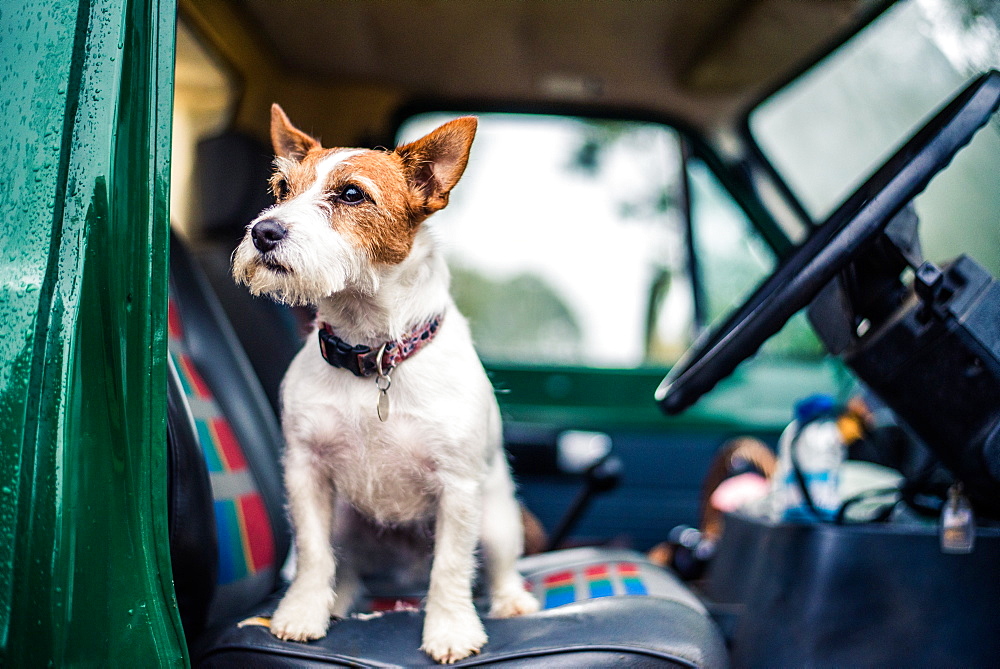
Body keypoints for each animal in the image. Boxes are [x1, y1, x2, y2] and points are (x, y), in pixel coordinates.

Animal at [232, 105, 540, 664]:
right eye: (281, 188)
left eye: (352, 194)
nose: (264, 231)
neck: (371, 354)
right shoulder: (306, 472)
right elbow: (313, 555)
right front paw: (302, 613)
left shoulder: (459, 488)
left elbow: (452, 566)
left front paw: (450, 629)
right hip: (344, 519)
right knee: (345, 565)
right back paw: (339, 601)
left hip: (498, 518)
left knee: (497, 565)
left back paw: (512, 601)